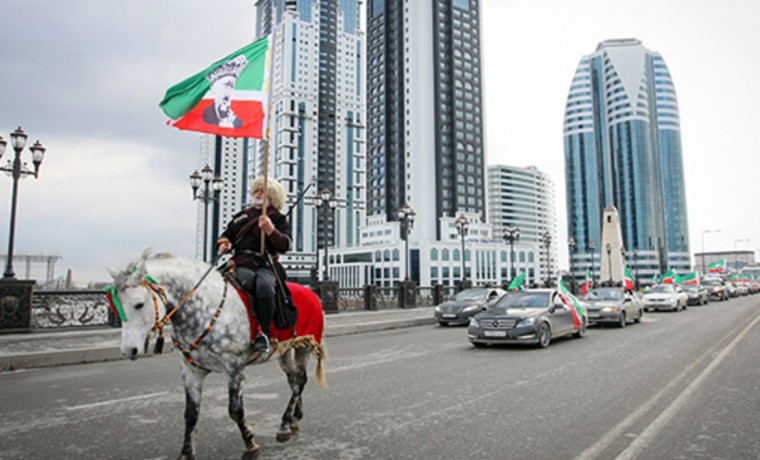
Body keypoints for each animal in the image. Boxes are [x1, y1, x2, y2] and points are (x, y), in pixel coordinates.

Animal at [110, 252, 326, 460]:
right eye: (117, 306)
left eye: (139, 304)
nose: (128, 350)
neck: (203, 309)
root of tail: (311, 293)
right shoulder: (190, 371)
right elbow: (191, 414)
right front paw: (186, 452)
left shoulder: (234, 368)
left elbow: (235, 410)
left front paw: (250, 443)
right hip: (284, 348)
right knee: (294, 379)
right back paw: (293, 419)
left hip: (305, 345)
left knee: (300, 380)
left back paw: (284, 424)